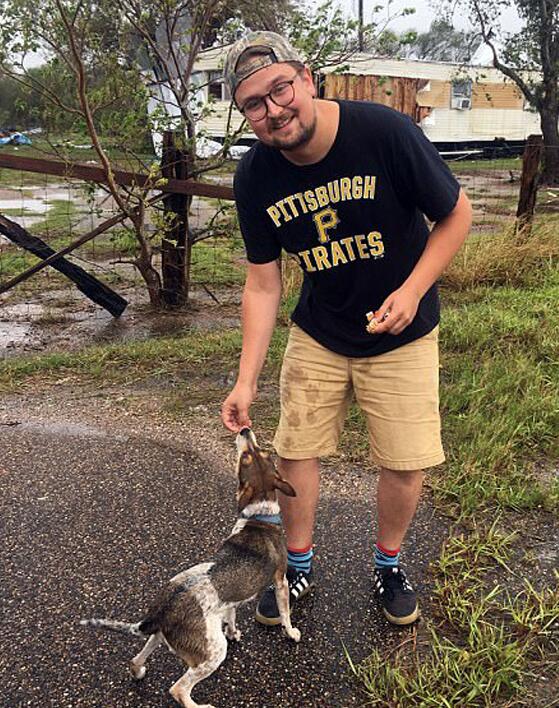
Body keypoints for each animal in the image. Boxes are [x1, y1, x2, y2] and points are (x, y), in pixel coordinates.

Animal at [80, 426, 302, 708]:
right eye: (246, 458)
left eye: (261, 453)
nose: (244, 429)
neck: (259, 517)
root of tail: (162, 611)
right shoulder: (281, 582)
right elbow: (285, 614)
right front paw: (292, 633)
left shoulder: (230, 602)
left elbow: (231, 616)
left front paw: (233, 631)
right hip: (212, 654)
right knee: (178, 689)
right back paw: (199, 705)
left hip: (161, 636)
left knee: (136, 659)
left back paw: (138, 671)